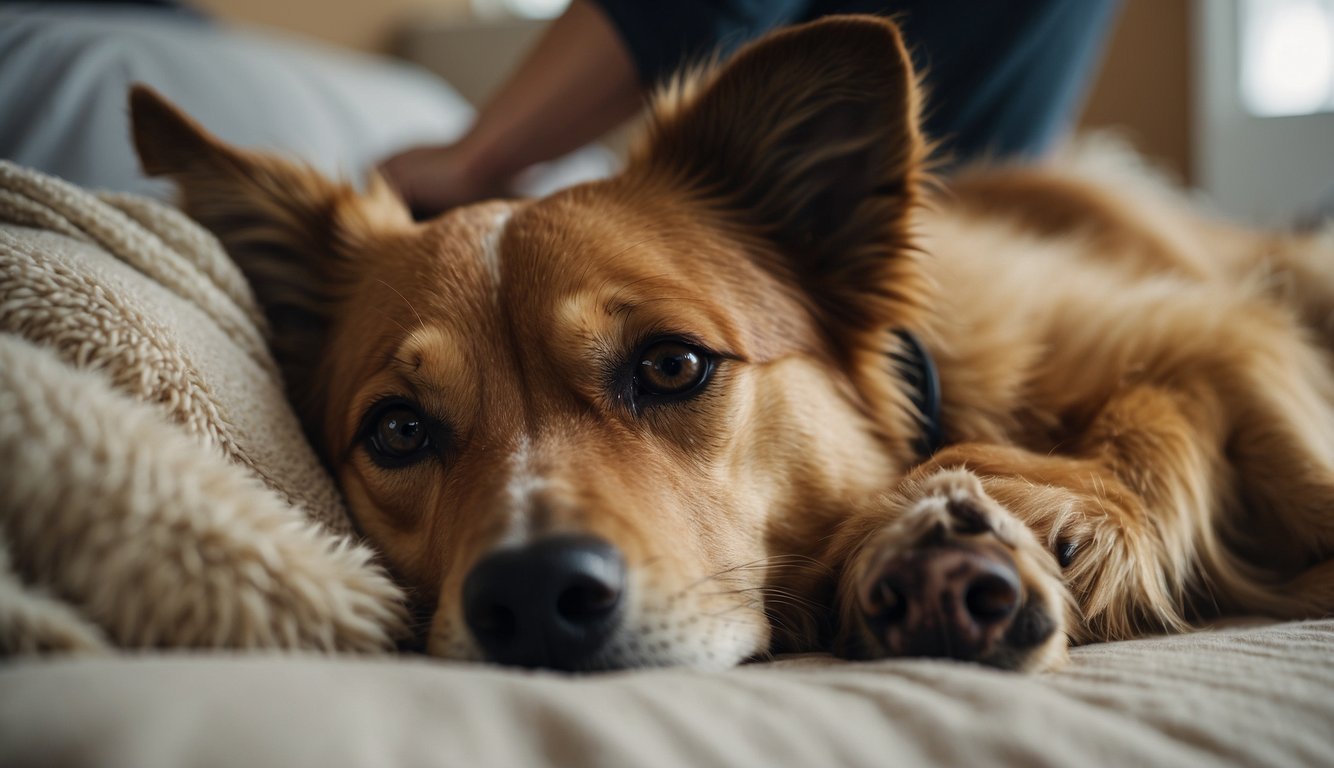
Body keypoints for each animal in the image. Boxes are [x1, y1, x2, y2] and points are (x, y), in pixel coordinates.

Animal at [127, 13, 1334, 672]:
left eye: (672, 365)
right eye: (396, 431)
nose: (531, 598)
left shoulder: (1211, 330)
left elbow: (1192, 415)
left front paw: (1044, 509)